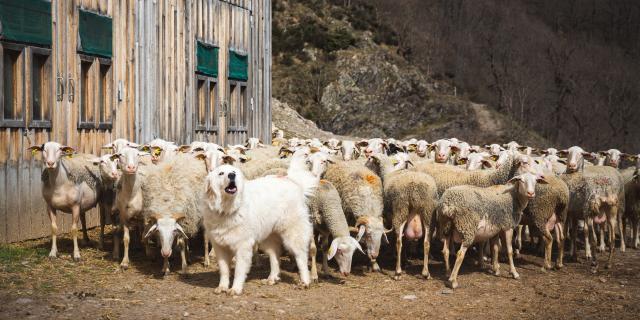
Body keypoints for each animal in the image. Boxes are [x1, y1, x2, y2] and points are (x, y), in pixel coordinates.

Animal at [202, 164, 318, 296]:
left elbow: (239, 270)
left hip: (293, 234)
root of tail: (294, 183)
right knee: (275, 256)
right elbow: (224, 270)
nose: (232, 175)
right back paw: (272, 278)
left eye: (233, 172)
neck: (226, 210)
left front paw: (236, 289)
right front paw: (222, 287)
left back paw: (305, 282)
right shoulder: (220, 246)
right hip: (268, 237)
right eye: (221, 173)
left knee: (301, 257)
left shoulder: (242, 246)